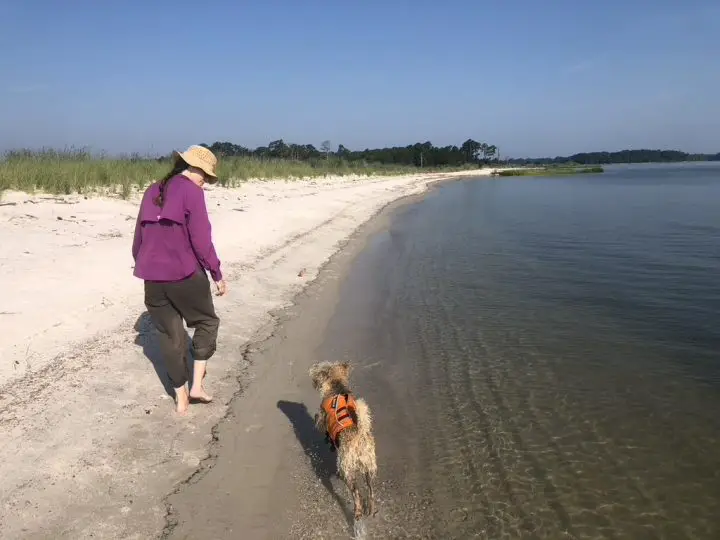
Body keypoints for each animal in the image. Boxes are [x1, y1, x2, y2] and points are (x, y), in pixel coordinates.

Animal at [308, 360, 376, 520]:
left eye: (318, 370)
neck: (336, 385)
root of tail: (359, 435)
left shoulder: (322, 417)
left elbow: (320, 422)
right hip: (370, 466)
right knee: (370, 490)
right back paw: (371, 509)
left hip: (346, 467)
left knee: (356, 493)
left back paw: (358, 511)